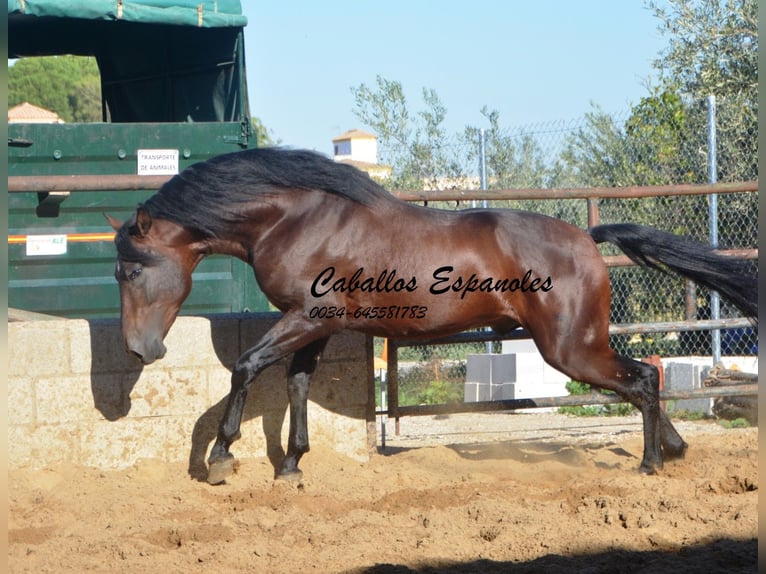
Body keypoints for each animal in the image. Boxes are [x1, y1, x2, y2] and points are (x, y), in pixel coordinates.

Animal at [105, 148, 760, 486]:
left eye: (128, 272)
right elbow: (295, 382)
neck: (299, 219)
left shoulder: (309, 315)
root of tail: (586, 237)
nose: (140, 350)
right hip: (579, 347)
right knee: (644, 380)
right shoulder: (314, 322)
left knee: (642, 379)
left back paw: (651, 463)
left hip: (571, 349)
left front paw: (221, 458)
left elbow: (246, 366)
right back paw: (673, 449)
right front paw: (291, 464)